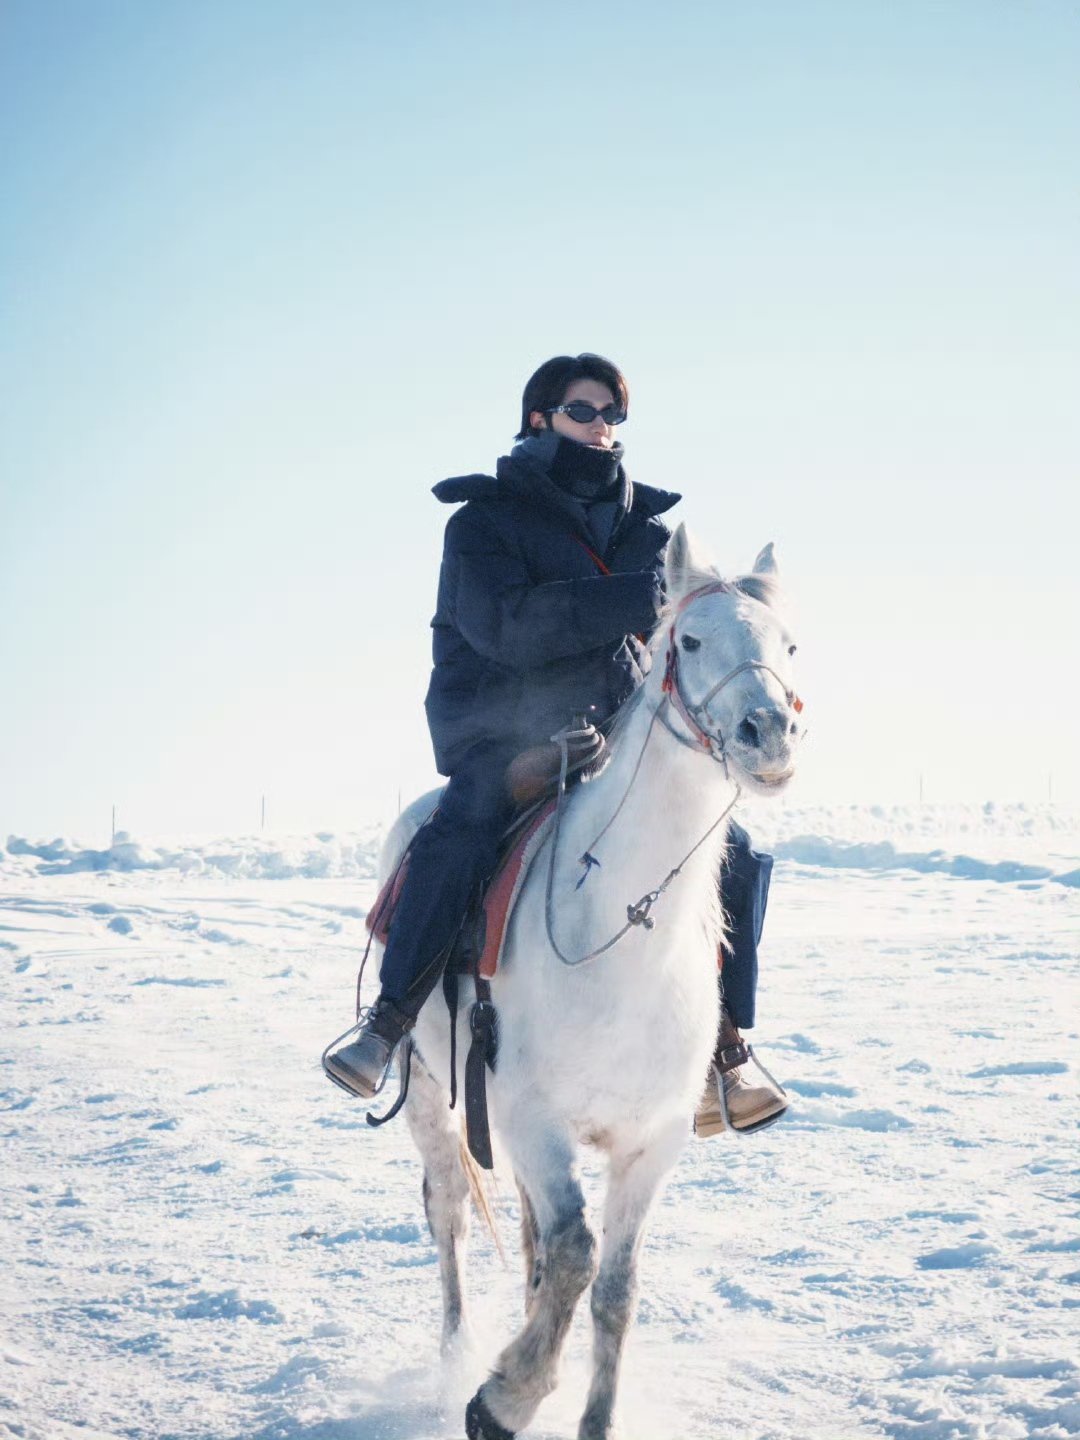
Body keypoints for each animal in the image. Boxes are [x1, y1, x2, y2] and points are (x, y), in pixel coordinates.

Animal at [377, 529, 800, 1440]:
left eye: (788, 646)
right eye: (690, 640)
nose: (770, 735)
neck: (625, 932)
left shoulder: (651, 1142)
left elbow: (614, 1288)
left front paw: (582, 1409)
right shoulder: (533, 1120)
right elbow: (574, 1256)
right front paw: (503, 1397)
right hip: (429, 1091)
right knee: (449, 1213)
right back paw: (458, 1362)